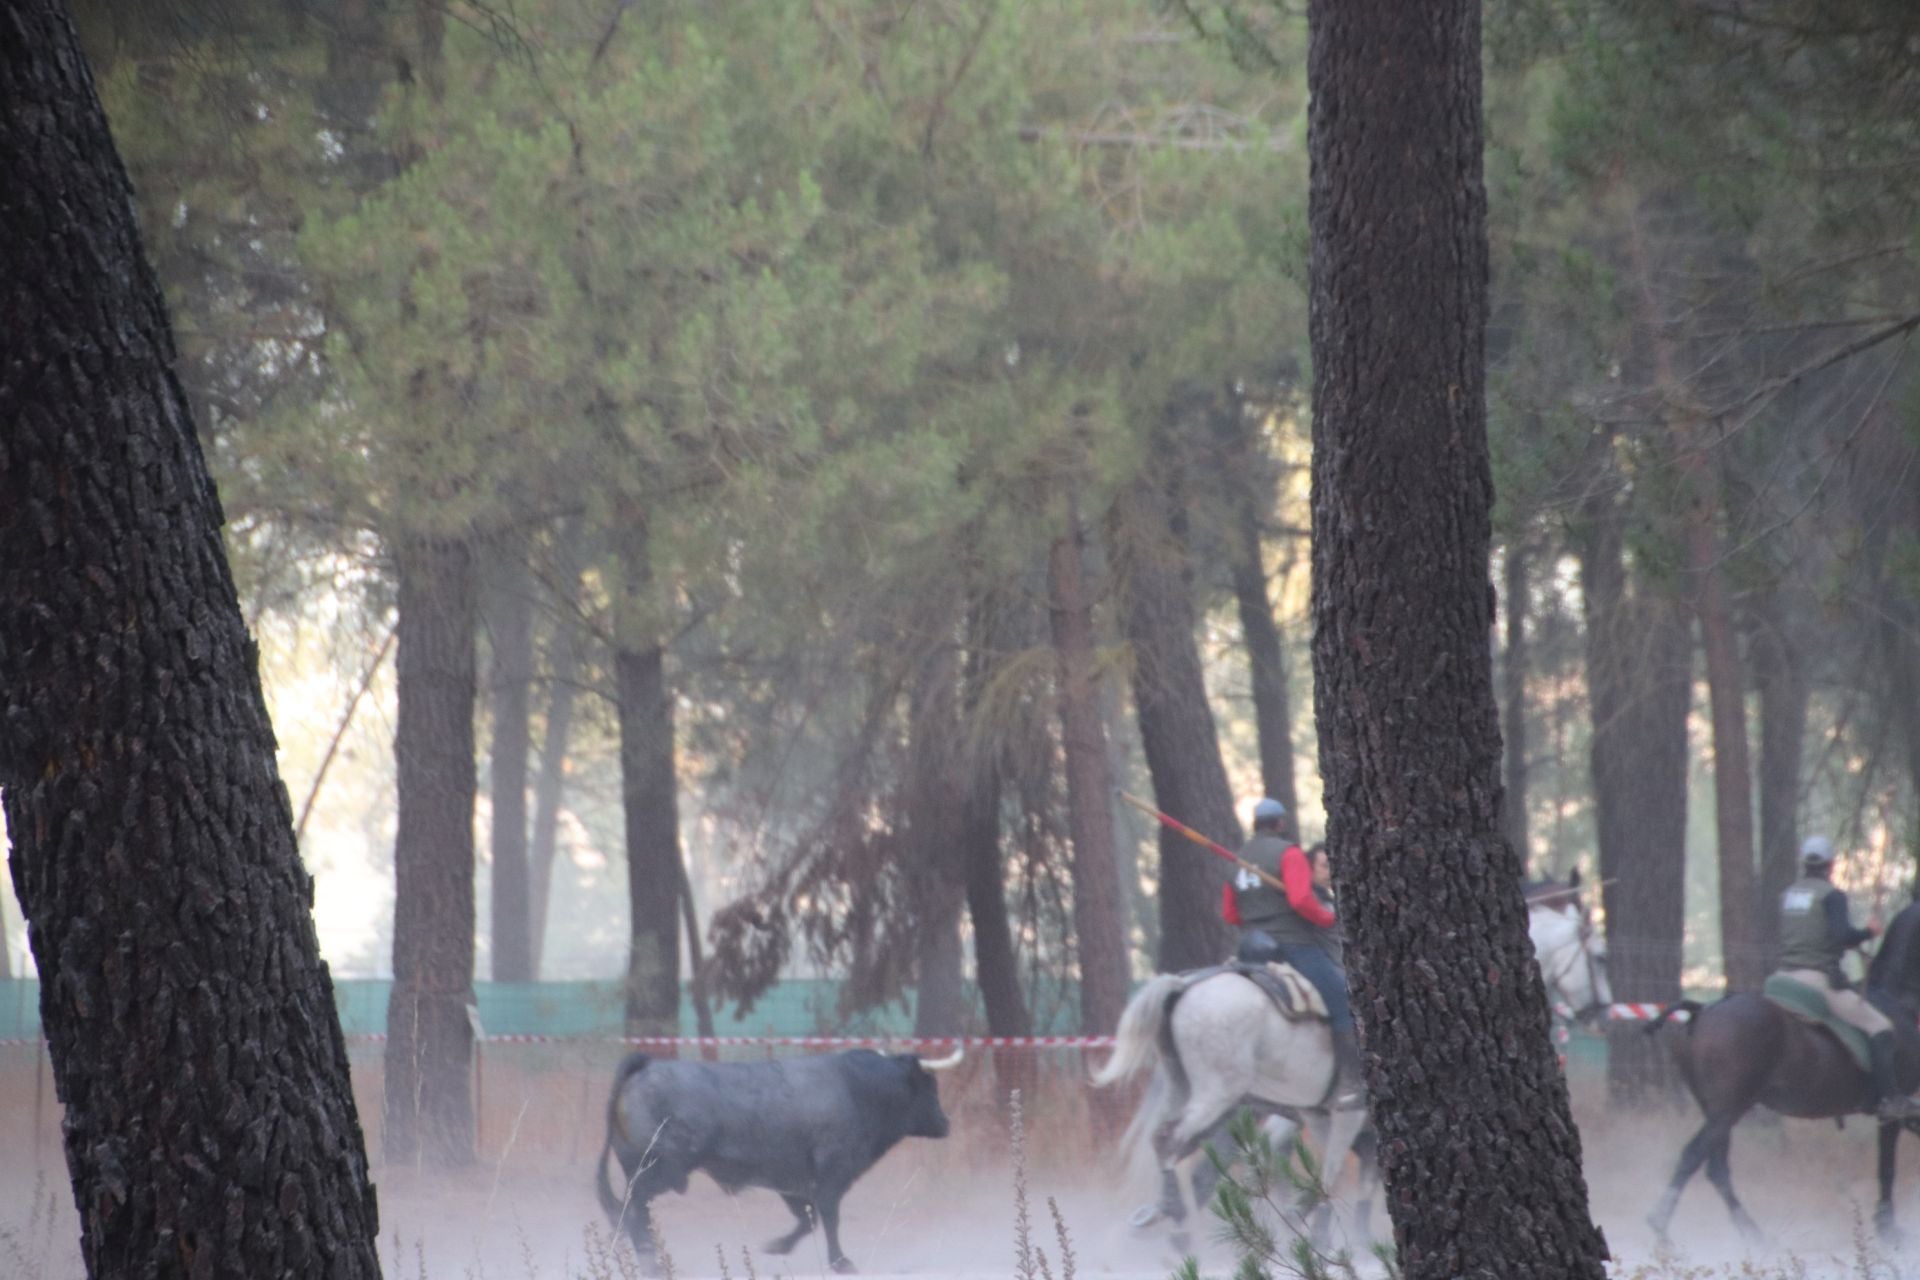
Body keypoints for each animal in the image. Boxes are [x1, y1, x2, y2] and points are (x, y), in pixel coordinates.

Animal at [591, 1051, 960, 1274]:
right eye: (929, 1086)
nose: (946, 1124)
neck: (857, 1089)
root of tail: (646, 1064)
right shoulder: (832, 1174)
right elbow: (828, 1216)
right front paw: (841, 1261)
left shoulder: (792, 1182)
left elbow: (808, 1218)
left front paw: (778, 1245)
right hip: (660, 1172)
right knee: (633, 1210)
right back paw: (648, 1258)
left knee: (629, 1210)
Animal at [1098, 882, 1605, 1251]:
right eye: (1600, 955)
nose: (1599, 1013)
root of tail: (1185, 986)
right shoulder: (1346, 1113)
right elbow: (1331, 1179)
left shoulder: (1321, 1115)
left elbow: (1325, 1181)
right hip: (1217, 1095)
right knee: (1173, 1143)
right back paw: (1178, 1226)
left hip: (1195, 1091)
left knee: (1184, 1152)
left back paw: (1166, 1217)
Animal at [1643, 898, 1920, 1243]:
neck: (1900, 999)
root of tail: (1705, 1011)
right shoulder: (1892, 1110)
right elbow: (1887, 1168)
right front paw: (1888, 1230)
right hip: (1728, 1109)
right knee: (1694, 1156)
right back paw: (1661, 1225)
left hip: (1719, 1110)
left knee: (1716, 1167)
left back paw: (1754, 1236)